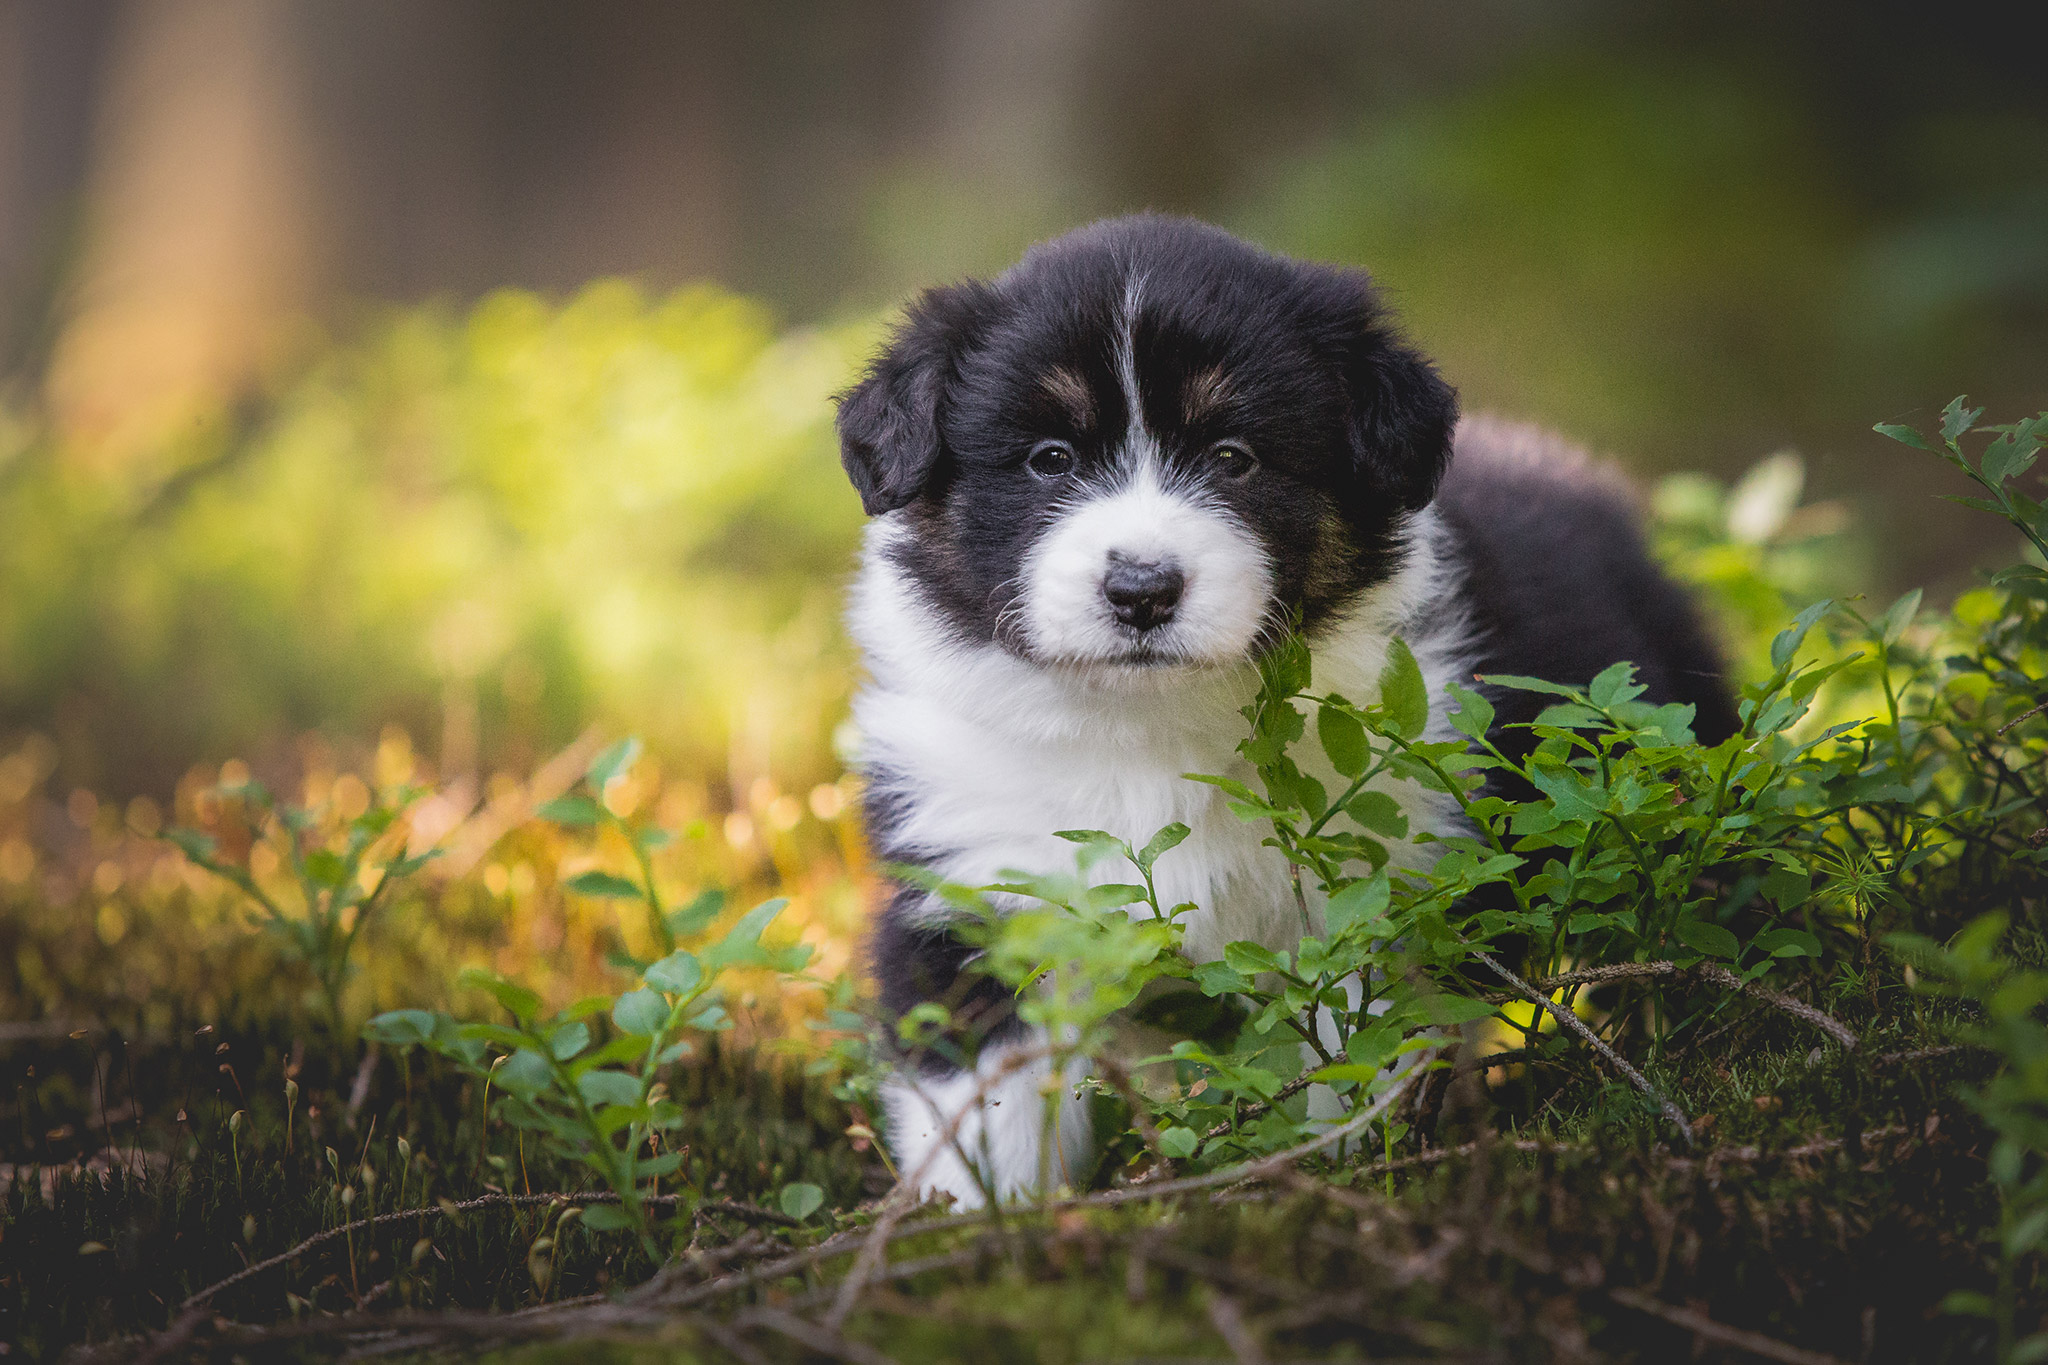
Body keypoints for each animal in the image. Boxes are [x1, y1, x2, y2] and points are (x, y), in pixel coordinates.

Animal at [831, 213, 1728, 1203]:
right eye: (1048, 459)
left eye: (1234, 458)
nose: (1141, 589)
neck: (1148, 724)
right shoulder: (974, 885)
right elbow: (988, 1095)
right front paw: (982, 1213)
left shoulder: (1370, 898)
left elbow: (1347, 1059)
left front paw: (1329, 1178)